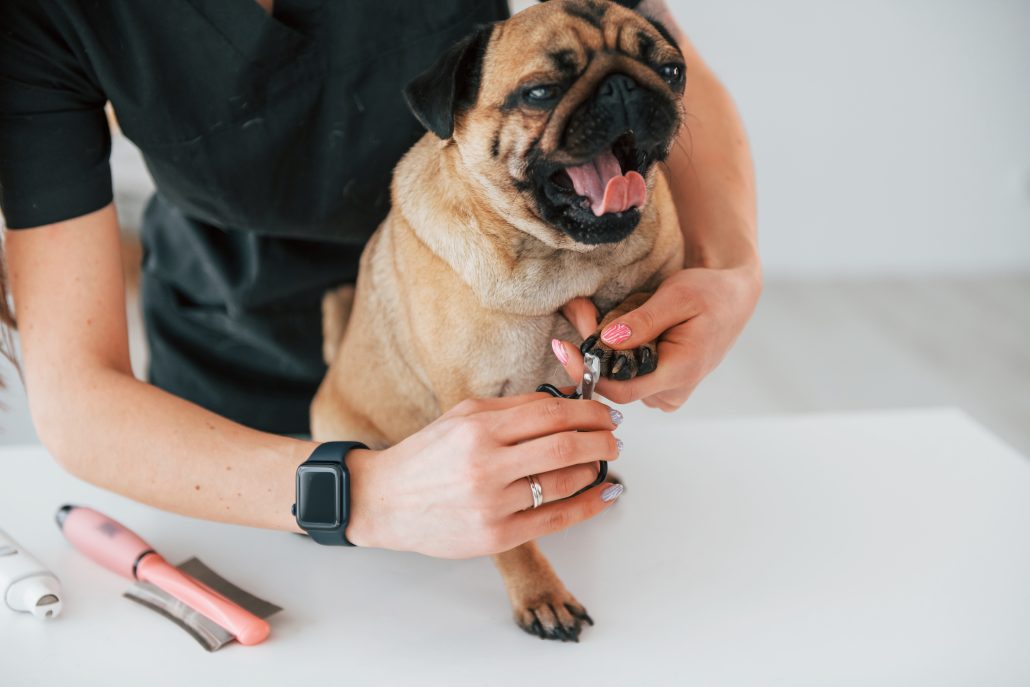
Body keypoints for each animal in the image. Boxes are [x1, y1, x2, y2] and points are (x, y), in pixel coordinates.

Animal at [309, 0, 688, 642]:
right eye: (540, 92)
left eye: (672, 70)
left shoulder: (668, 259)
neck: (559, 260)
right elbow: (511, 531)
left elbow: (646, 292)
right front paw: (539, 592)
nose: (624, 84)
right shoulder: (476, 413)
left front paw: (624, 335)